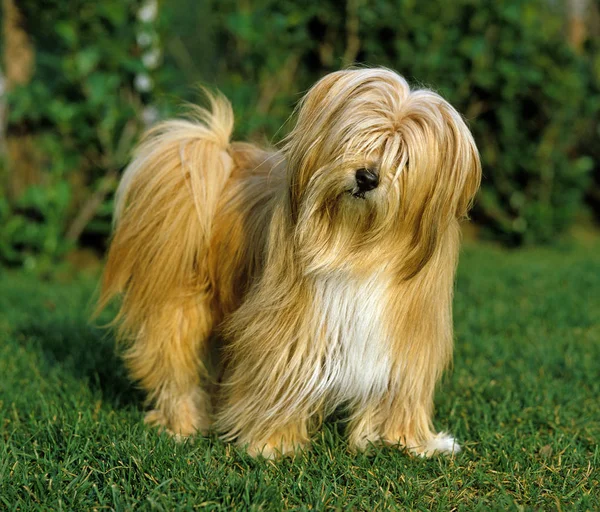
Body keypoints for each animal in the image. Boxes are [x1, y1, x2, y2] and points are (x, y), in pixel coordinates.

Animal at [98, 67, 482, 456]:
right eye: (354, 139)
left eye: (404, 159)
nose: (366, 177)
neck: (357, 246)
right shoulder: (290, 328)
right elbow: (281, 379)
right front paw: (273, 443)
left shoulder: (406, 337)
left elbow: (399, 389)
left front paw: (408, 441)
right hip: (181, 304)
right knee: (173, 363)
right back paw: (183, 423)